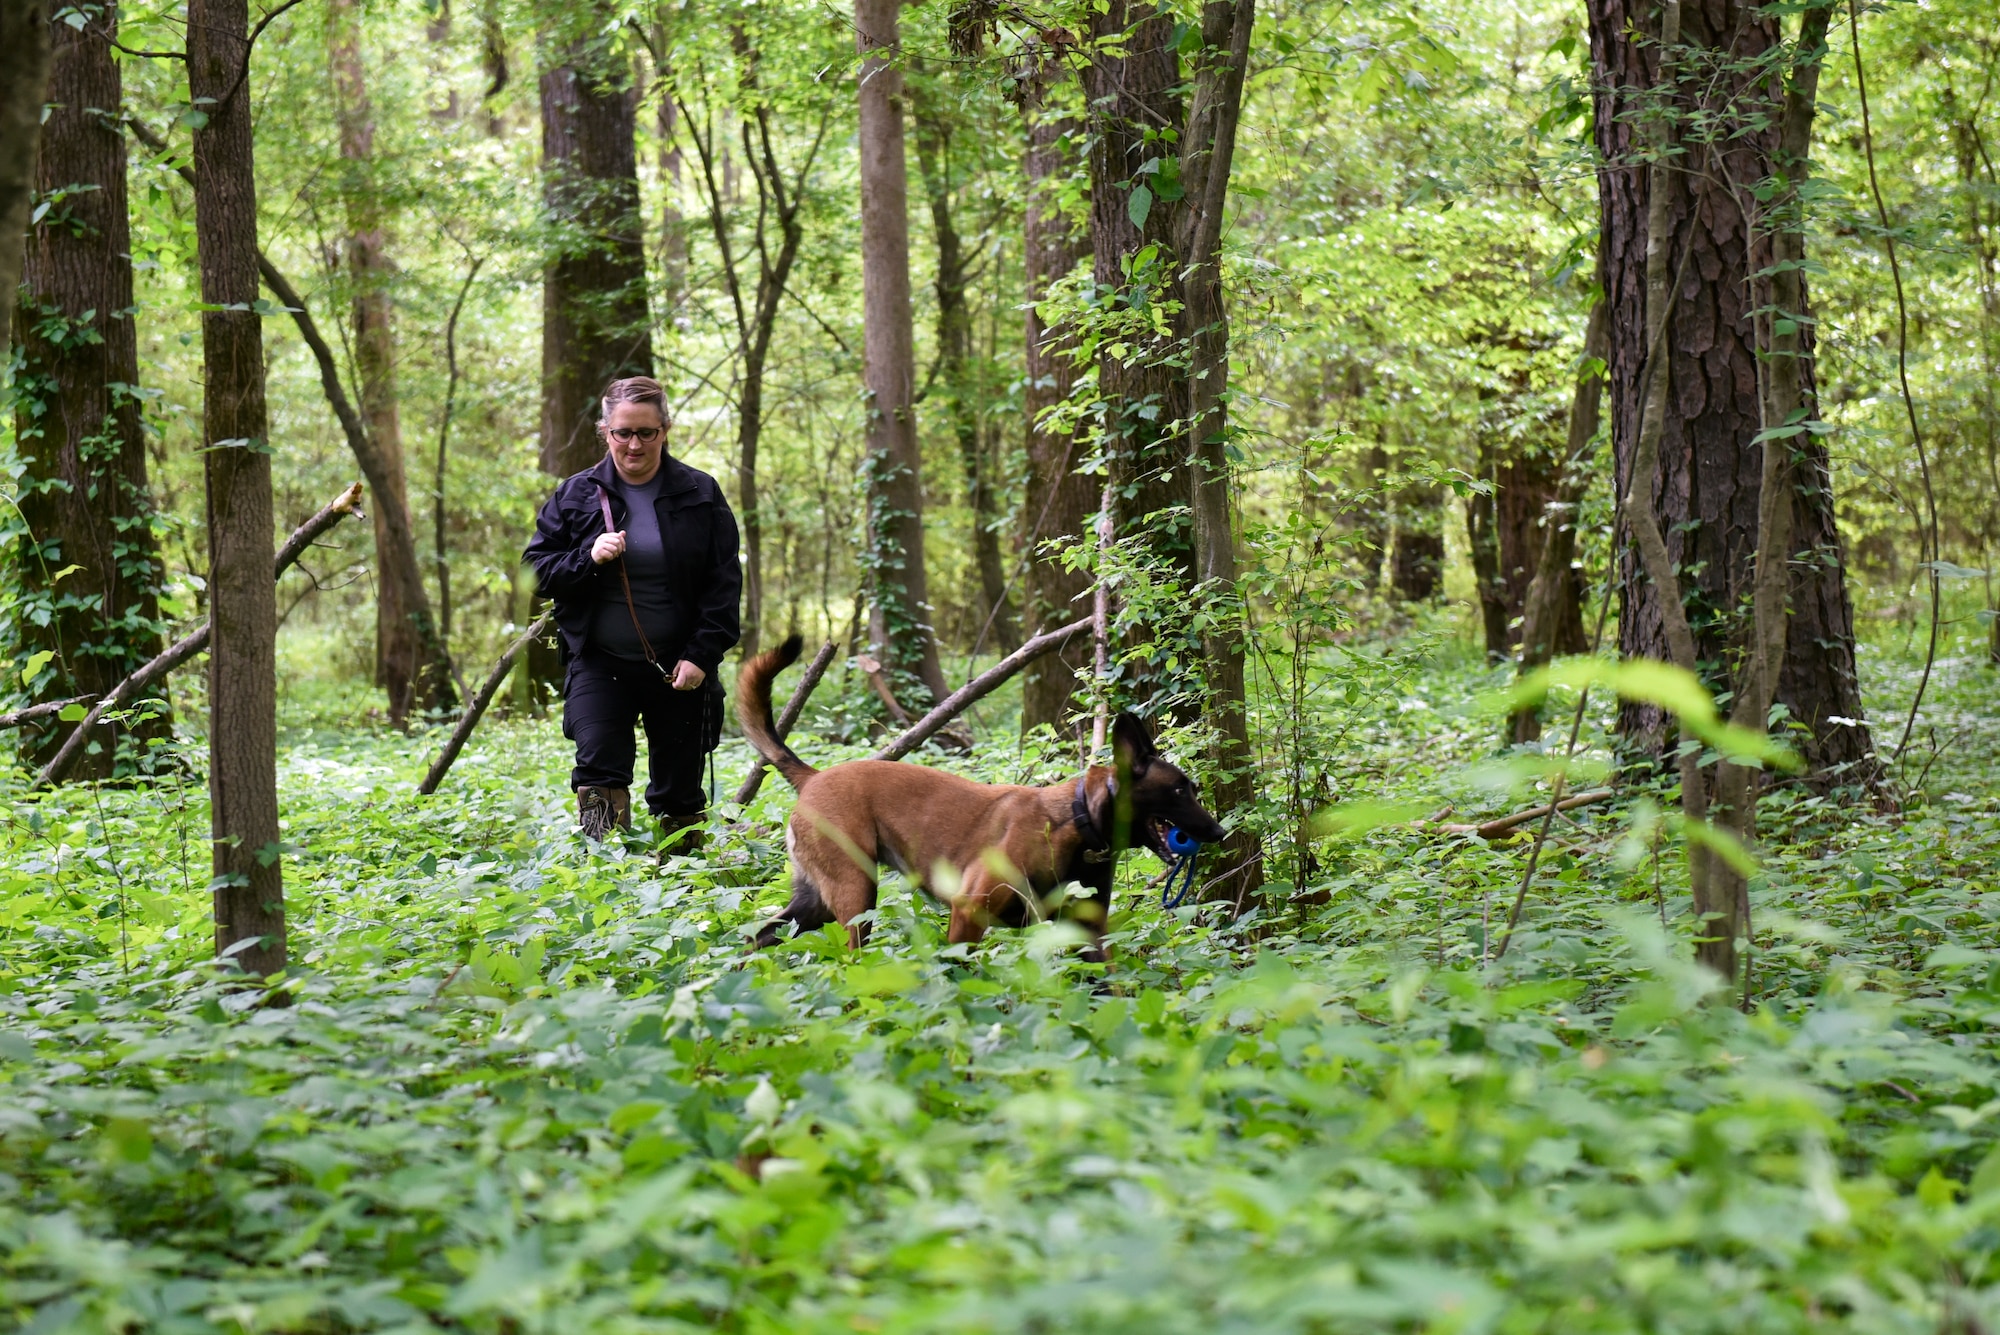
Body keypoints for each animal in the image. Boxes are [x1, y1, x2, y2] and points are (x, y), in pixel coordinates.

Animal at [740, 635, 1224, 955]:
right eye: (1179, 789)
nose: (1219, 832)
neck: (1074, 819)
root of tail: (813, 778)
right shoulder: (968, 913)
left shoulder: (1087, 935)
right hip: (856, 895)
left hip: (815, 903)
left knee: (756, 937)